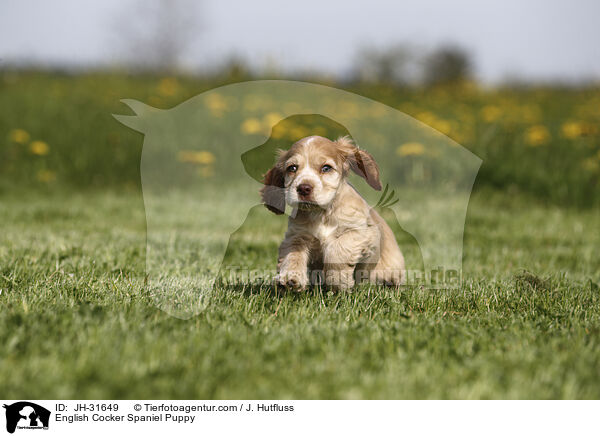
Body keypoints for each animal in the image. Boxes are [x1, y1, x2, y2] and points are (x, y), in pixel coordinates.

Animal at [260, 135, 406, 292]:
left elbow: (337, 249)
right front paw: (290, 278)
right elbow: (292, 256)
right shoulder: (296, 236)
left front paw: (338, 281)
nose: (304, 188)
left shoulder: (363, 232)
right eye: (292, 168)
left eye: (326, 168)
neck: (322, 213)